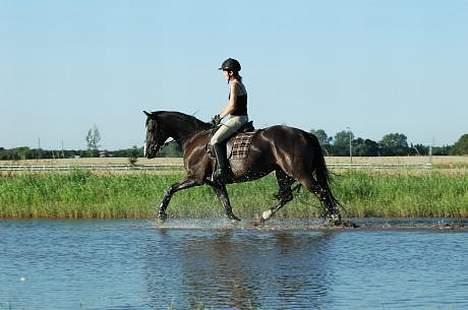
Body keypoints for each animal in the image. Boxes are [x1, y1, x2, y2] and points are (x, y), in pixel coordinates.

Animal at [144, 111, 342, 225]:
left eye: (151, 129)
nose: (148, 152)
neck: (194, 138)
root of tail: (306, 134)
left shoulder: (195, 178)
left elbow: (170, 189)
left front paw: (161, 215)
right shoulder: (215, 183)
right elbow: (226, 204)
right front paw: (235, 221)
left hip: (300, 173)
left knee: (320, 191)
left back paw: (335, 219)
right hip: (281, 172)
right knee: (287, 196)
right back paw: (263, 217)